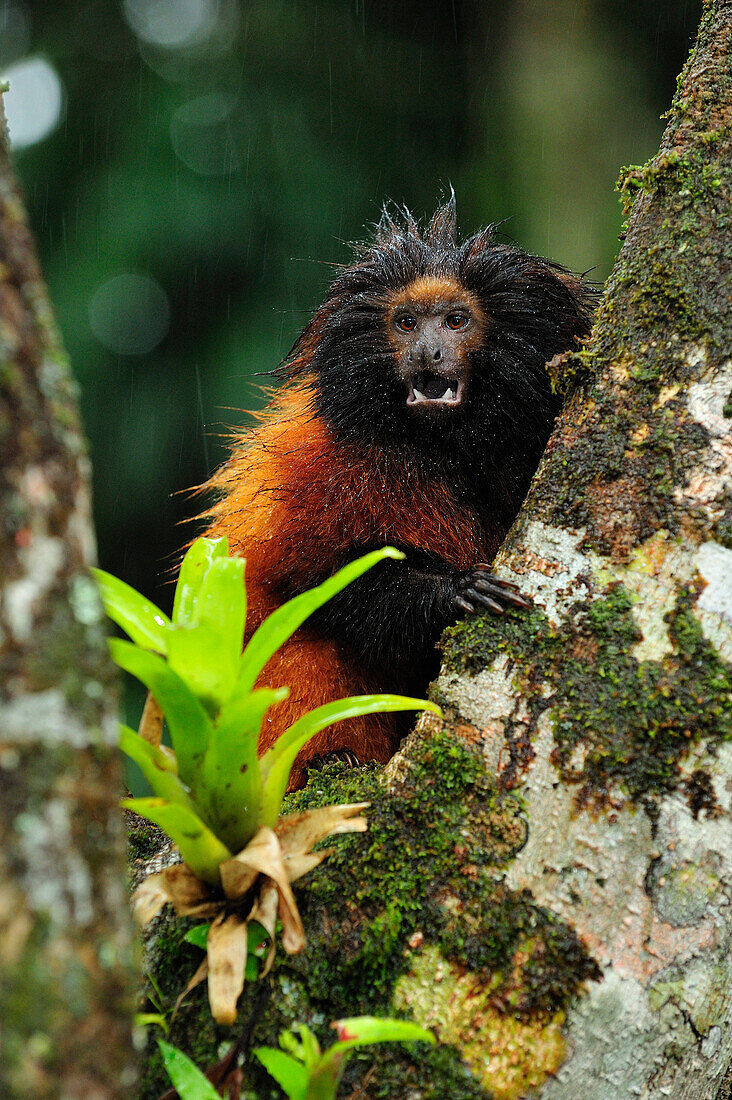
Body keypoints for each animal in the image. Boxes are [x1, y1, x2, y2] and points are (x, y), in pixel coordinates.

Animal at [202, 195, 590, 783]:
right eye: (406, 324)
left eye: (455, 321)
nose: (428, 351)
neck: (444, 449)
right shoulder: (323, 466)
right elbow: (321, 581)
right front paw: (452, 592)